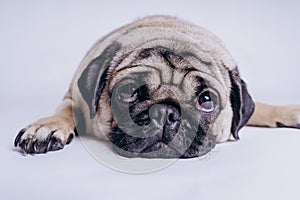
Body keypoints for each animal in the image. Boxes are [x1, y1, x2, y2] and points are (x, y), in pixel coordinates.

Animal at [13, 15, 300, 159]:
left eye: (206, 100)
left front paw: (287, 112)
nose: (165, 112)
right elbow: (65, 110)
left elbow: (260, 108)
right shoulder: (74, 97)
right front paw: (47, 127)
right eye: (128, 93)